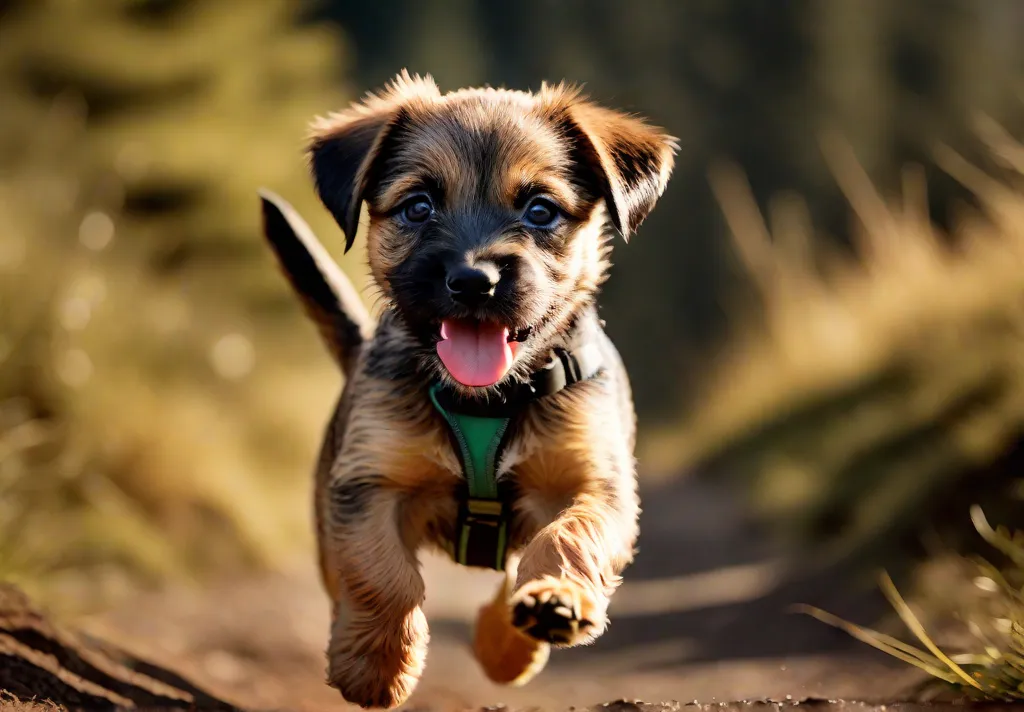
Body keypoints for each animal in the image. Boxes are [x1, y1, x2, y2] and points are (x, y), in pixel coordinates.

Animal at [258, 73, 671, 712]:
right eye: (418, 207)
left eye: (540, 210)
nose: (475, 280)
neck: (488, 401)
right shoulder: (369, 483)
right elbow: (381, 574)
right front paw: (376, 665)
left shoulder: (595, 485)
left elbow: (566, 539)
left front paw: (554, 602)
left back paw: (511, 643)